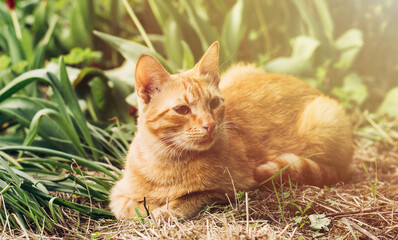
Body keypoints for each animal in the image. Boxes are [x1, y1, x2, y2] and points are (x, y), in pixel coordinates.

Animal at [109, 41, 352, 219]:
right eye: (182, 109)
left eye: (214, 103)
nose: (210, 125)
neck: (166, 161)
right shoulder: (117, 194)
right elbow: (127, 207)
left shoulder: (229, 188)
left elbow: (188, 198)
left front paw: (163, 209)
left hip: (324, 117)